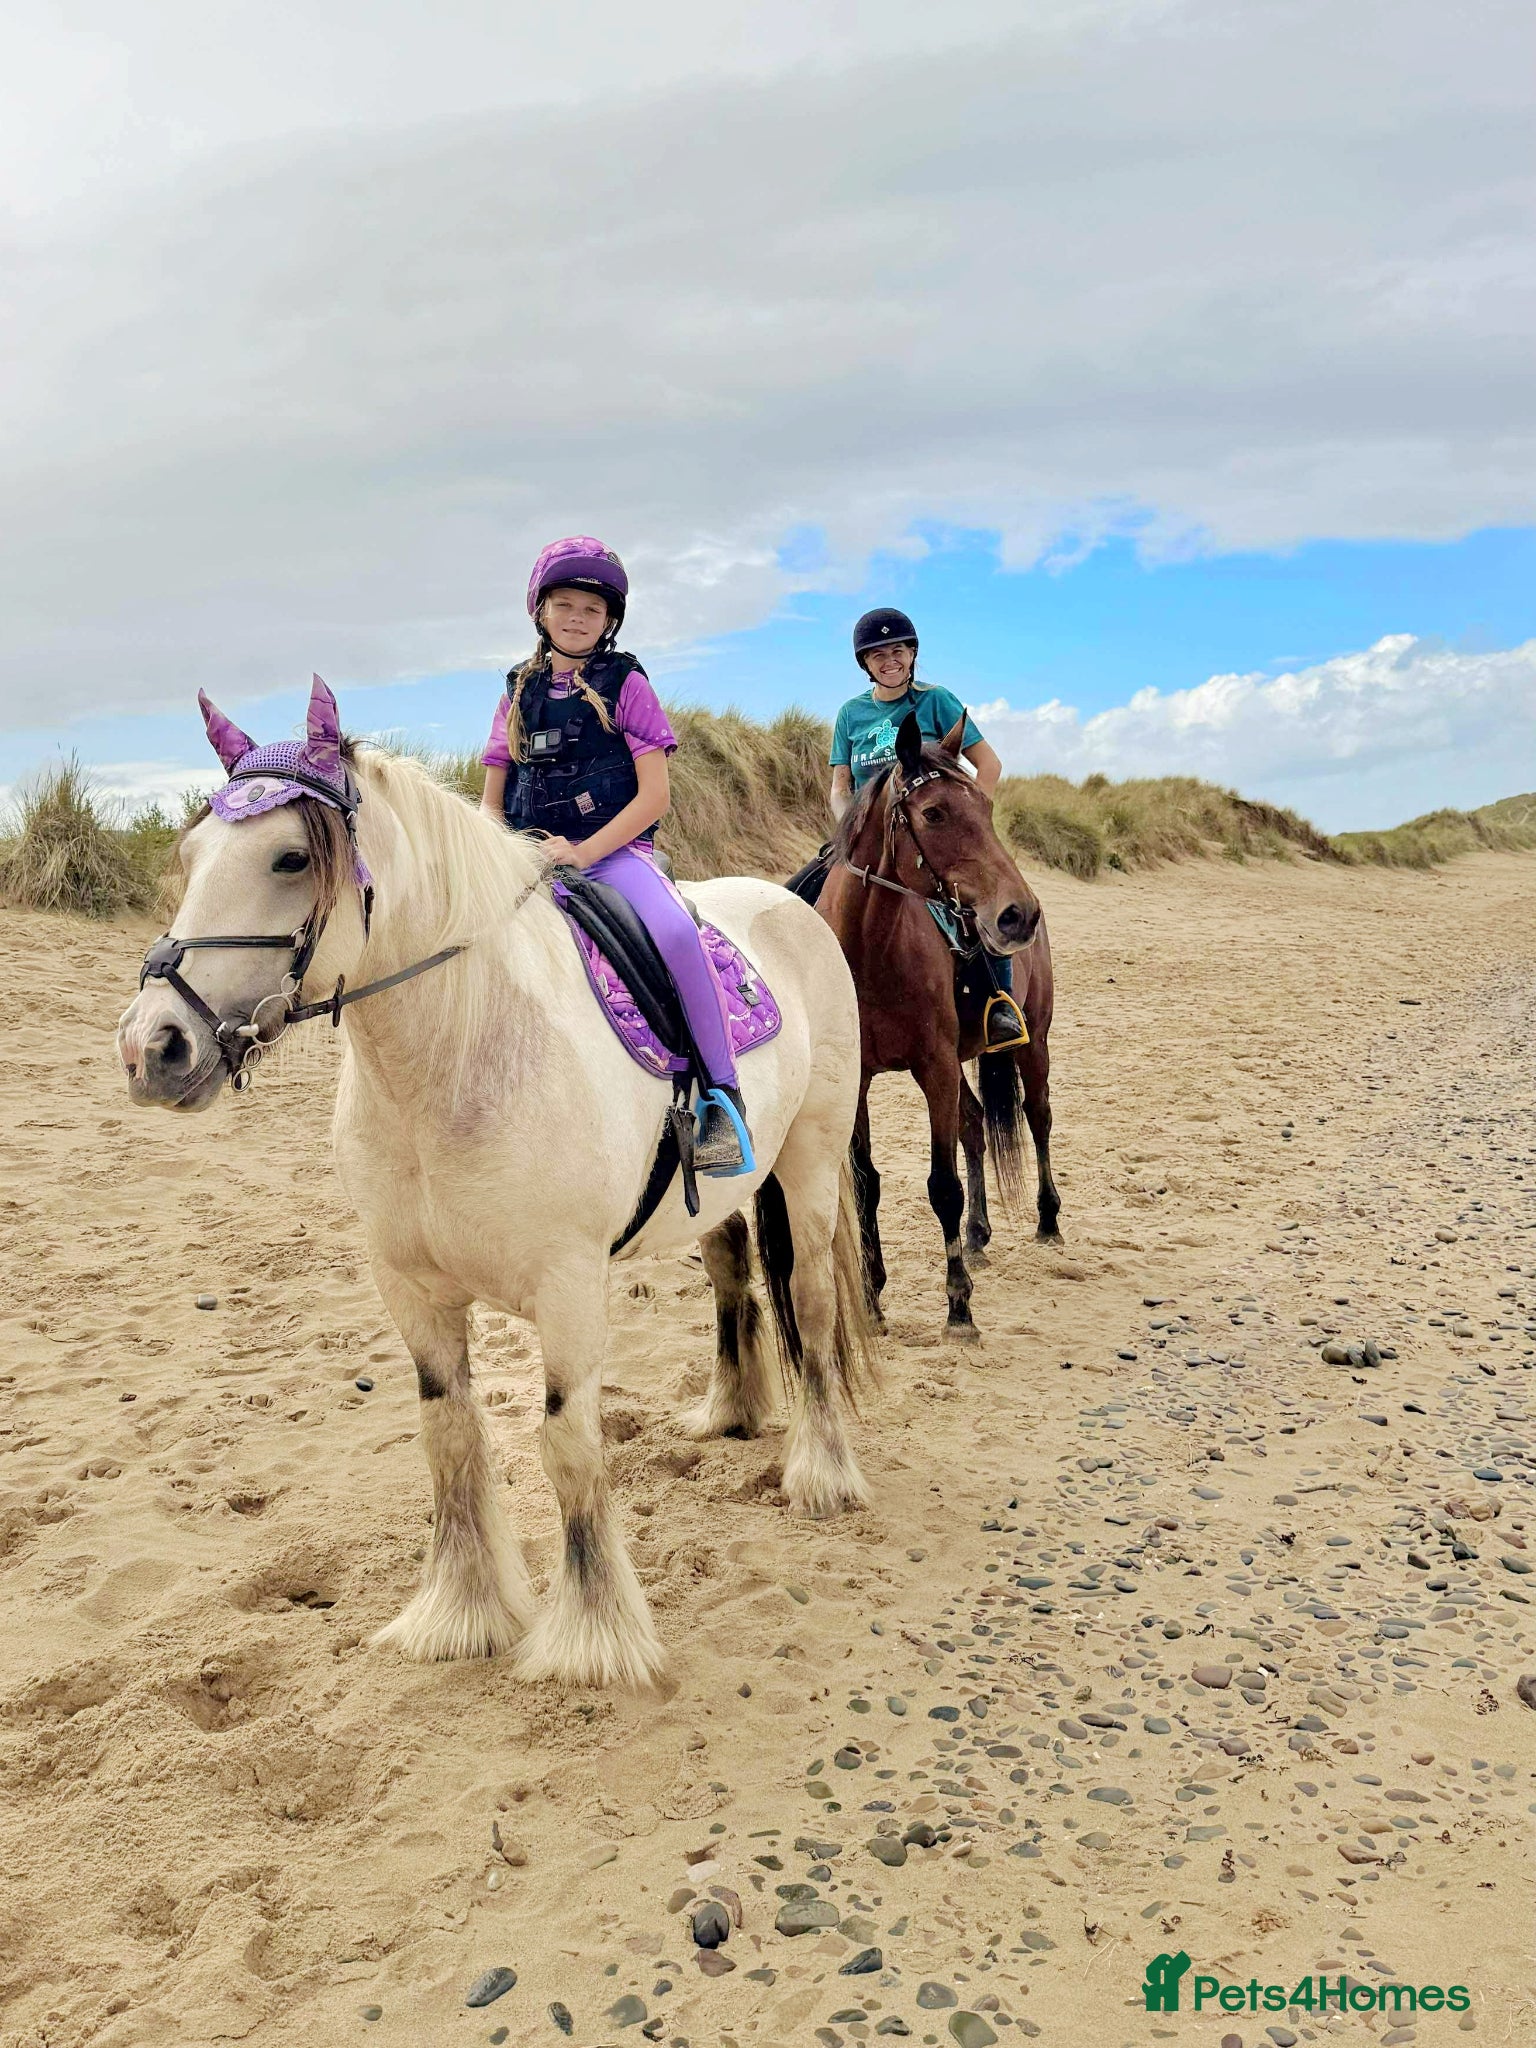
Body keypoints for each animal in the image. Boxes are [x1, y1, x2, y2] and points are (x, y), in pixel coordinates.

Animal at [117, 687, 876, 1690]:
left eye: (289, 858)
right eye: (190, 857)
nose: (152, 1047)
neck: (454, 1060)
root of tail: (786, 900)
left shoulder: (568, 1287)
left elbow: (567, 1446)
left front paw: (592, 1635)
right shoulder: (411, 1288)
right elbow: (451, 1437)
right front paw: (462, 1611)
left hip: (813, 1163)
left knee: (814, 1304)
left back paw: (823, 1474)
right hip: (722, 1194)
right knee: (731, 1276)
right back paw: (729, 1411)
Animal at [814, 710, 1060, 1343]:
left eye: (986, 807)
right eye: (933, 814)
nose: (1019, 914)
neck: (868, 951)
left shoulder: (936, 1067)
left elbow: (942, 1185)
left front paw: (958, 1307)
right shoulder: (858, 1080)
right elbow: (867, 1183)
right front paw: (873, 1299)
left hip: (1034, 1042)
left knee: (1039, 1118)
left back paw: (1049, 1221)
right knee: (975, 1126)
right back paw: (977, 1235)